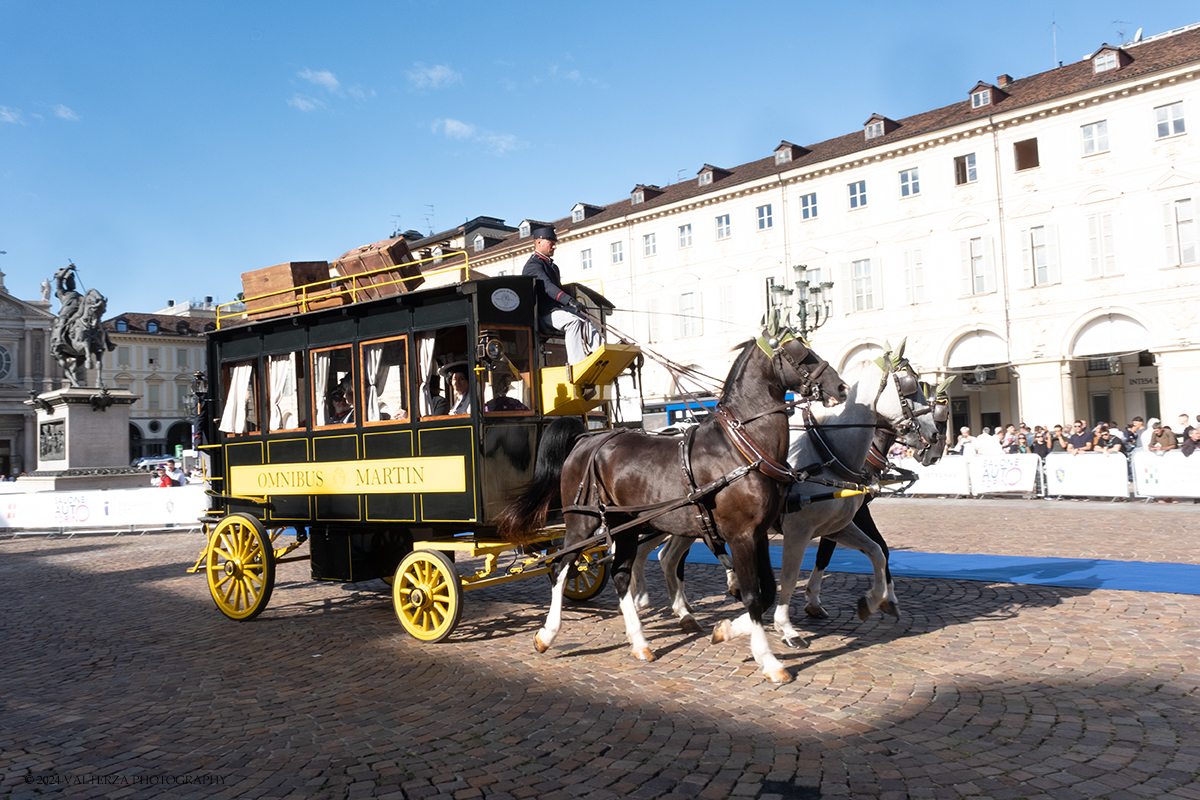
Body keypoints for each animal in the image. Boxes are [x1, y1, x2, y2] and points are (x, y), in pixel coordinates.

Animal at [494, 328, 844, 686]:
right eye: (799, 354)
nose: (840, 387)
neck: (741, 449)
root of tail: (586, 440)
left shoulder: (758, 535)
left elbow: (768, 591)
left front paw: (725, 629)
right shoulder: (740, 536)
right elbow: (753, 596)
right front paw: (768, 659)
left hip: (626, 526)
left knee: (620, 575)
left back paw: (639, 642)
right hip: (582, 523)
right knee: (560, 568)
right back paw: (547, 633)